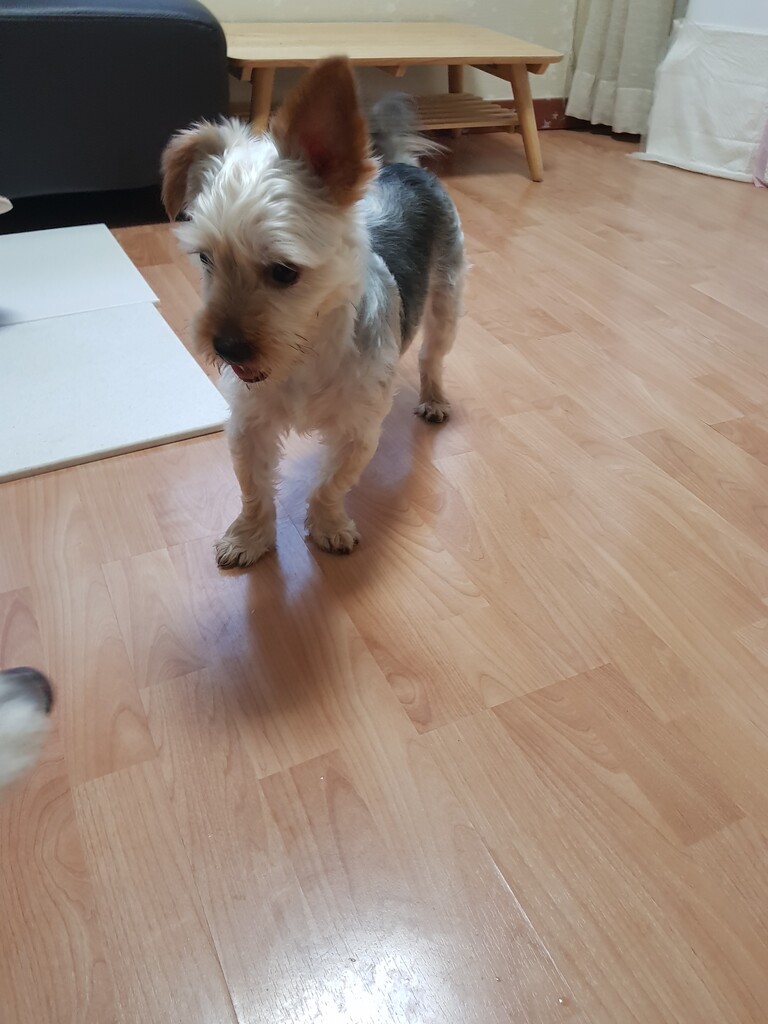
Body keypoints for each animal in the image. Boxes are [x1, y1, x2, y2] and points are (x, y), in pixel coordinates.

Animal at [161, 57, 465, 568]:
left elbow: (331, 484)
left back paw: (434, 398)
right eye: (205, 259)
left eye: (284, 272)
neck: (304, 354)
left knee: (433, 354)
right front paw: (249, 537)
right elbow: (253, 487)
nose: (225, 347)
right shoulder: (250, 422)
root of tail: (401, 167)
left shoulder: (357, 428)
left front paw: (328, 527)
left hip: (448, 295)